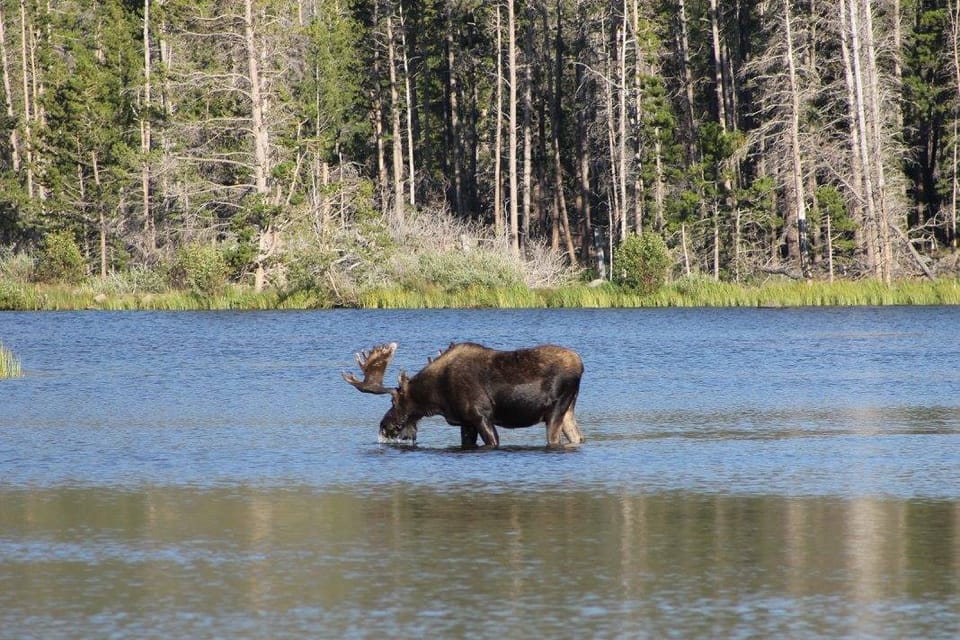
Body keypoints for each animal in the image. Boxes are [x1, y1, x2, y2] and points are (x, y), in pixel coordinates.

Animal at [344, 342, 584, 448]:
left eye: (393, 400)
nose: (384, 426)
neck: (437, 399)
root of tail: (581, 365)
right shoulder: (465, 422)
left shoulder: (481, 416)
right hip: (569, 410)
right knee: (578, 437)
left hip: (556, 408)